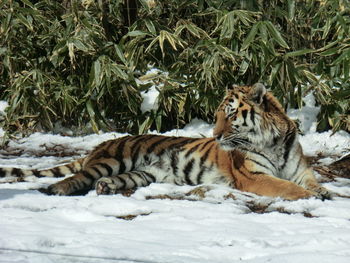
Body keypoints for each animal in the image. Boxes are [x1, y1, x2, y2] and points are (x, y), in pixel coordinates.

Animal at [0, 83, 332, 201]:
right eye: (217, 116)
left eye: (229, 115)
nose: (214, 135)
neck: (273, 142)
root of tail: (98, 147)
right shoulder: (253, 176)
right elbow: (285, 187)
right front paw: (310, 197)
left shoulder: (301, 170)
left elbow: (311, 182)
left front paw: (326, 193)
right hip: (112, 160)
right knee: (78, 176)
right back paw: (55, 189)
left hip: (141, 173)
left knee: (107, 180)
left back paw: (105, 188)